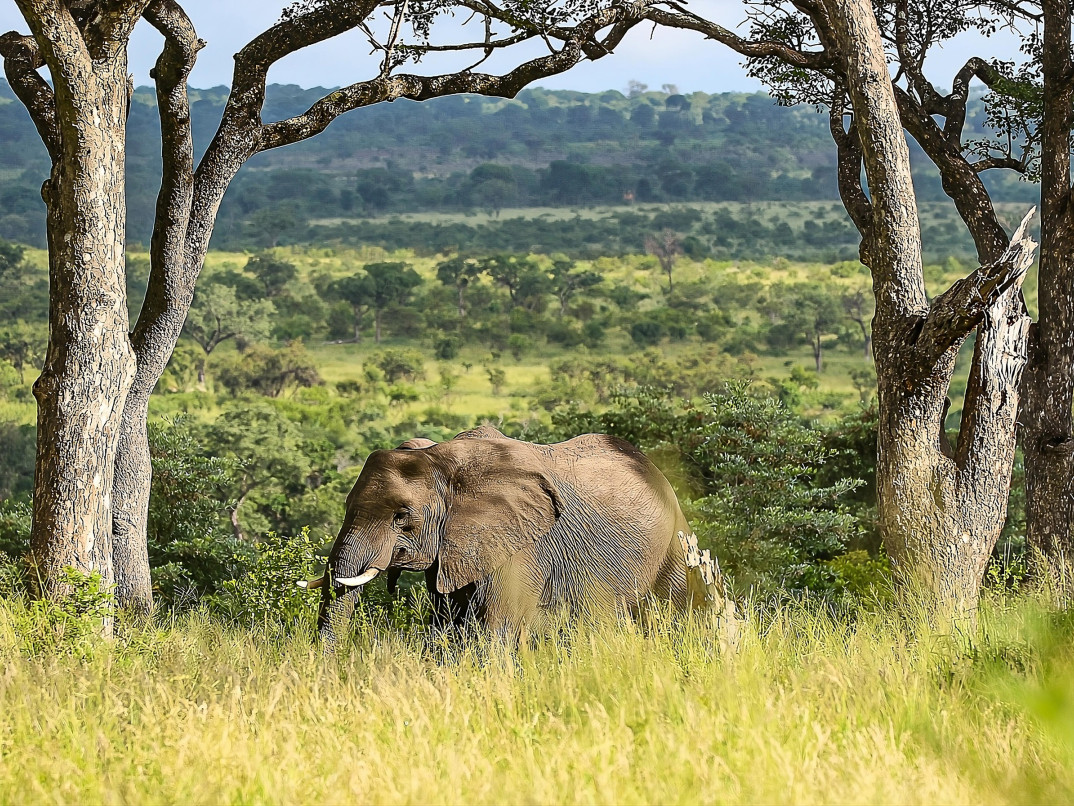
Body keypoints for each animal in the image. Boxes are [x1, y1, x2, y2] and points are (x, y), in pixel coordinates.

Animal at [300, 425, 730, 643]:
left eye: (401, 516)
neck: (439, 458)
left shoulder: (521, 543)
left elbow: (496, 626)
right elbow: (447, 625)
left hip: (674, 540)